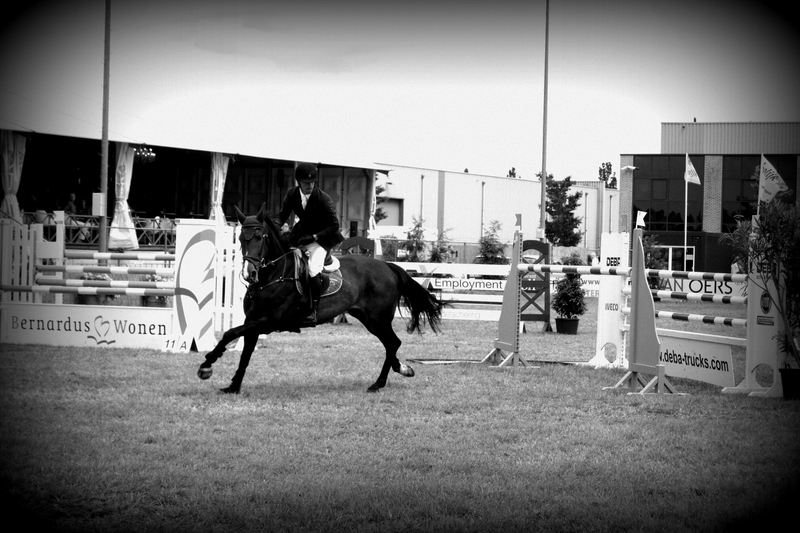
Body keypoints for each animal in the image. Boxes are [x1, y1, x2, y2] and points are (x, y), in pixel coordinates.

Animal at [195, 204, 444, 390]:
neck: (273, 274)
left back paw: (379, 383)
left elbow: (229, 333)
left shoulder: (268, 321)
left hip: (378, 318)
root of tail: (387, 266)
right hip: (368, 319)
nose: (250, 273)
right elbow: (244, 352)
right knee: (391, 344)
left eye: (261, 237)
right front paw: (233, 386)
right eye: (241, 238)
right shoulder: (253, 321)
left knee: (392, 342)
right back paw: (403, 369)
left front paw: (206, 365)